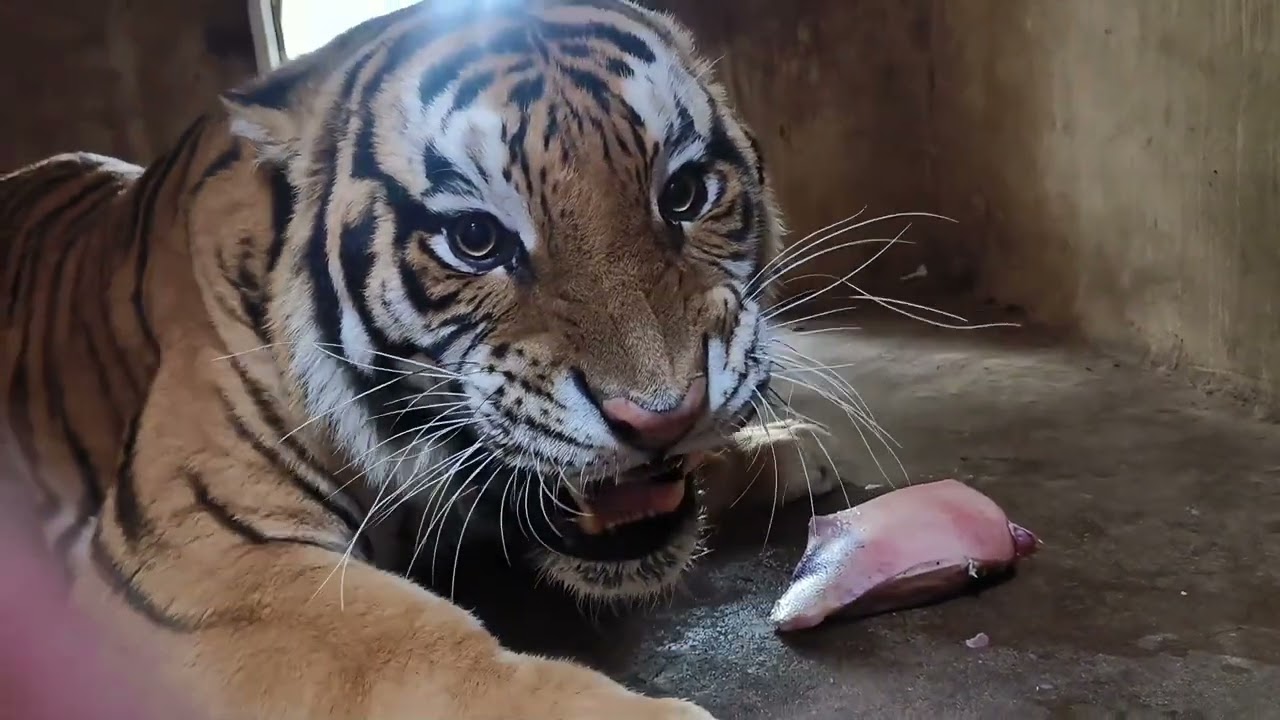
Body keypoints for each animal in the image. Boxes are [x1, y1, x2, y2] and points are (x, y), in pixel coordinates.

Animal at [0, 1, 843, 718]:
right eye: (474, 239)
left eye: (687, 194)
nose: (665, 417)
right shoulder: (205, 563)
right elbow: (417, 656)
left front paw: (790, 448)